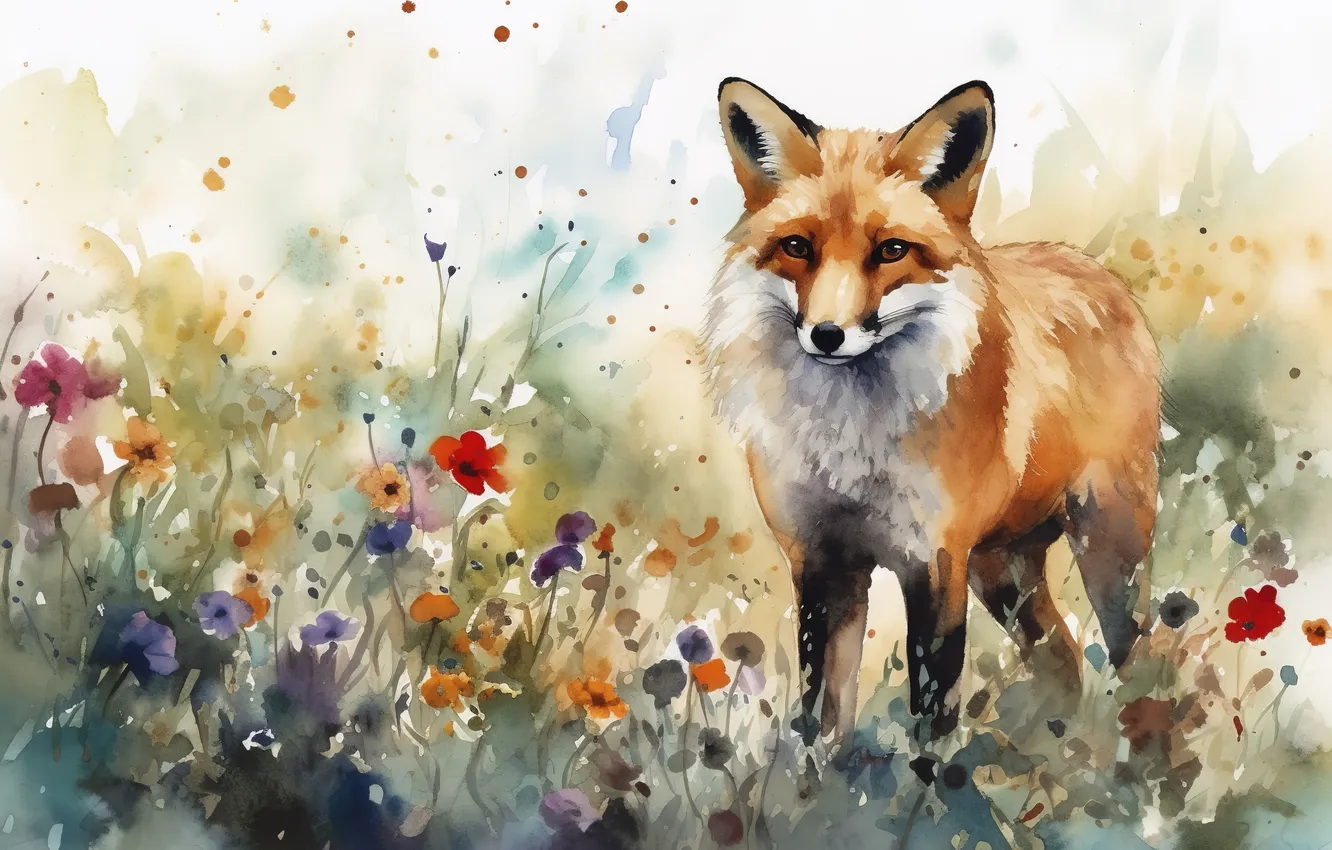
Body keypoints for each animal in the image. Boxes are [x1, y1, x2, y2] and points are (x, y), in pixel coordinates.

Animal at [702, 78, 1160, 753]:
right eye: (797, 247)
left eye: (892, 250)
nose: (828, 335)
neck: (853, 445)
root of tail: (1095, 270)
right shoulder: (822, 560)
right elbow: (820, 719)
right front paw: (821, 783)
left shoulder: (935, 562)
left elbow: (930, 720)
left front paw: (927, 785)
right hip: (1002, 572)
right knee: (1066, 664)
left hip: (1106, 553)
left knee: (1148, 662)